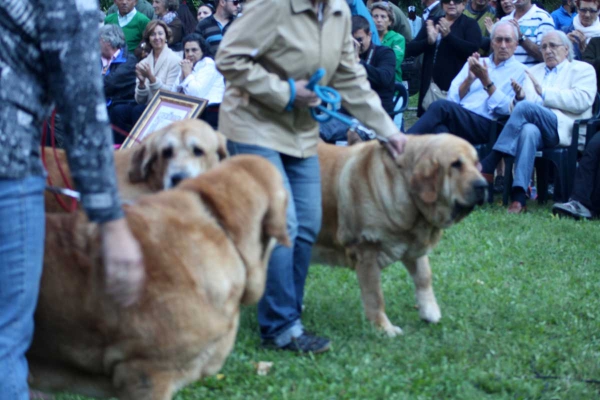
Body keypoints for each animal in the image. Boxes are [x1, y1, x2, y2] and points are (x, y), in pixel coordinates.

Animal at [314, 135, 488, 338]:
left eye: (476, 163)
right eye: (456, 164)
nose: (483, 185)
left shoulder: (413, 244)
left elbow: (424, 277)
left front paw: (430, 312)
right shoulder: (367, 252)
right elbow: (375, 296)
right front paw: (384, 328)